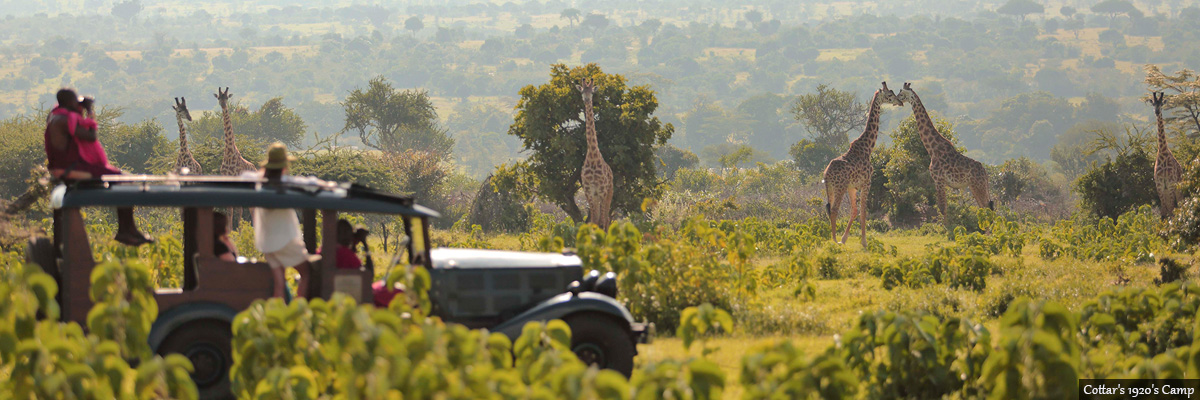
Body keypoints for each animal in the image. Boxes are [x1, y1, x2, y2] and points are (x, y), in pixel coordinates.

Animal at [825, 81, 902, 245]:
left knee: (828, 209)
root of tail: (827, 174)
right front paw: (864, 242)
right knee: (834, 210)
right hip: (839, 187)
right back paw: (834, 240)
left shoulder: (853, 187)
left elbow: (854, 211)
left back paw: (834, 239)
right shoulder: (867, 182)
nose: (900, 101)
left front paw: (845, 238)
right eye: (890, 94)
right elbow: (863, 212)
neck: (867, 147)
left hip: (830, 188)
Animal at [902, 81, 993, 218]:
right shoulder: (942, 182)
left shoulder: (938, 180)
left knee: (987, 208)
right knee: (985, 207)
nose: (897, 100)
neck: (932, 148)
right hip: (975, 186)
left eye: (901, 93)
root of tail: (985, 173)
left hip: (978, 186)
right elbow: (944, 208)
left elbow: (942, 208)